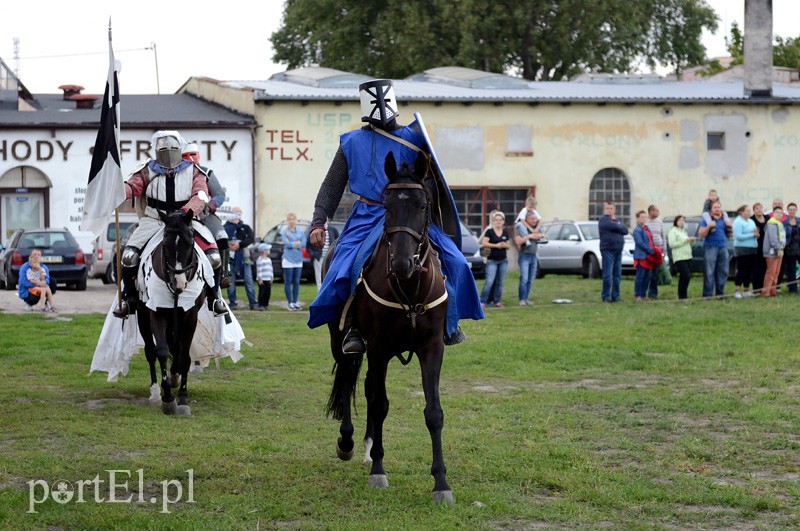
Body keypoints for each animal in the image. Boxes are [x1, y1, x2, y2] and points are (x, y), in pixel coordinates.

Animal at [139, 211, 205, 416]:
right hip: (143, 317)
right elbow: (160, 351)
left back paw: (175, 377)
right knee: (150, 351)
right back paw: (154, 392)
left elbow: (184, 355)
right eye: (165, 244)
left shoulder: (190, 316)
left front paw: (182, 398)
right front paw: (168, 399)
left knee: (176, 349)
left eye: (190, 242)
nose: (179, 283)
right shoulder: (156, 313)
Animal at [324, 152, 450, 504]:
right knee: (349, 380)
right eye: (387, 206)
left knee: (367, 386)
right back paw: (349, 443)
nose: (402, 264)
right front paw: (379, 471)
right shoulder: (378, 346)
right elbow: (380, 404)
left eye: (423, 205)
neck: (410, 288)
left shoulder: (431, 347)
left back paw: (368, 446)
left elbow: (433, 412)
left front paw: (441, 483)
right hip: (343, 341)